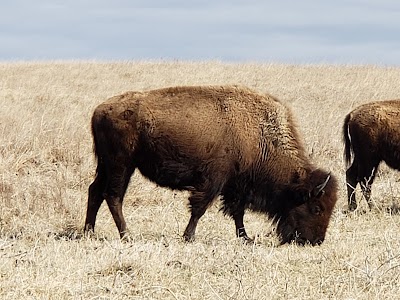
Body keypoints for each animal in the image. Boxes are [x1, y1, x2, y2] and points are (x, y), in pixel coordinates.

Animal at [85, 85, 338, 245]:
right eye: (316, 208)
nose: (316, 241)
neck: (258, 134)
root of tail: (99, 110)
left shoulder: (237, 185)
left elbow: (237, 212)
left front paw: (245, 238)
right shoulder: (214, 181)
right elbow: (200, 208)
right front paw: (188, 237)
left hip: (108, 165)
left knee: (95, 191)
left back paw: (89, 231)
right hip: (121, 165)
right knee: (113, 195)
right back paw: (126, 235)